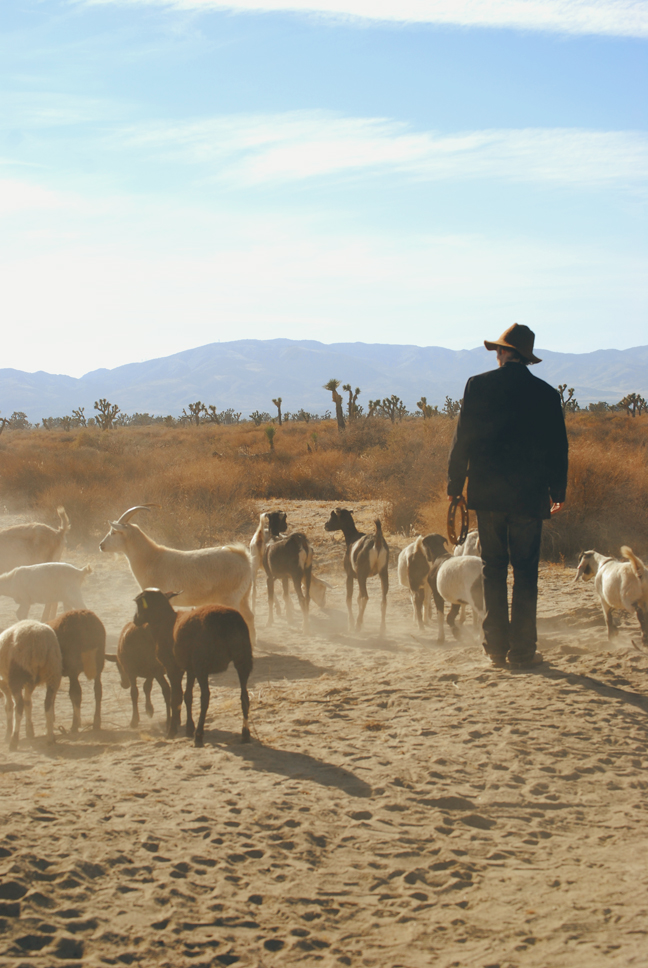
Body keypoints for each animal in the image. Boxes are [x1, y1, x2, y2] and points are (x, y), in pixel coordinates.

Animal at [0, 620, 62, 748]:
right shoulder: (29, 684)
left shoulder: (5, 684)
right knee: (48, 705)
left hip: (17, 676)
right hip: (53, 672)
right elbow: (28, 703)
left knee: (18, 707)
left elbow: (9, 706)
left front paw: (8, 735)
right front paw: (29, 731)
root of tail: (40, 644)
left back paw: (14, 741)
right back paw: (50, 738)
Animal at [98, 506, 256, 644]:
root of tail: (243, 557)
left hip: (230, 598)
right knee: (249, 616)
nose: (101, 545)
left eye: (113, 532)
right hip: (244, 596)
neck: (152, 558)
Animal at [326, 506, 388, 636]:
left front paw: (351, 624)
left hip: (361, 575)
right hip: (383, 573)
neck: (352, 538)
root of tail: (377, 541)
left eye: (333, 515)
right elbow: (357, 599)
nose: (326, 525)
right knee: (383, 600)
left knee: (365, 597)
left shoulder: (350, 576)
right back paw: (382, 628)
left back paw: (358, 625)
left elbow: (349, 599)